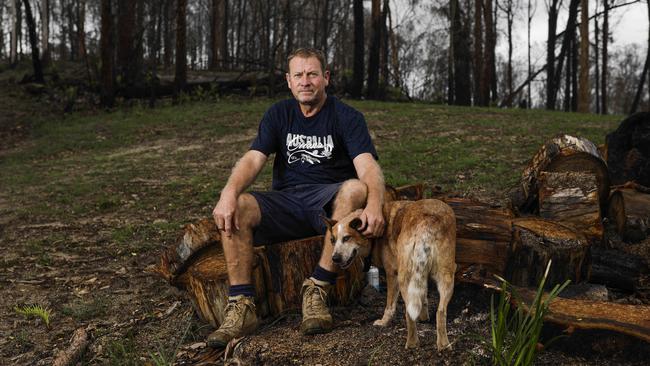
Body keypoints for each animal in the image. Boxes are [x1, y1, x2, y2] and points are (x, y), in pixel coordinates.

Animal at [322, 199, 456, 350]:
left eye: (346, 238)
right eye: (332, 240)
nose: (335, 258)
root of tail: (427, 222)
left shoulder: (392, 273)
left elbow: (390, 305)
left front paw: (383, 322)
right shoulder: (421, 274)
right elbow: (423, 296)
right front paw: (424, 316)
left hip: (405, 277)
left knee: (408, 312)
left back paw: (412, 344)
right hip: (447, 275)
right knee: (441, 311)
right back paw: (444, 345)